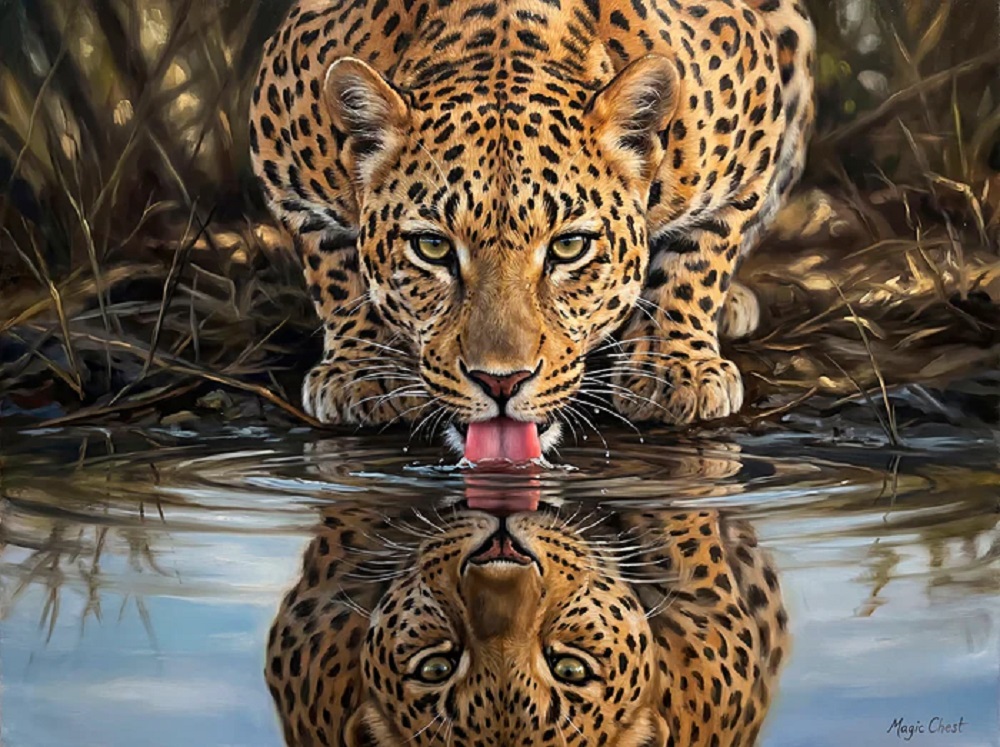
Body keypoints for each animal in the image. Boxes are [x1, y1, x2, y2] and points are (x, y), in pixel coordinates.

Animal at [249, 0, 816, 450]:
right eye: (432, 248)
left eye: (569, 247)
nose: (501, 383)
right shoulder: (284, 165)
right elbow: (336, 270)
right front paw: (366, 374)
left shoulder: (755, 131)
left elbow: (699, 257)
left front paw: (672, 366)